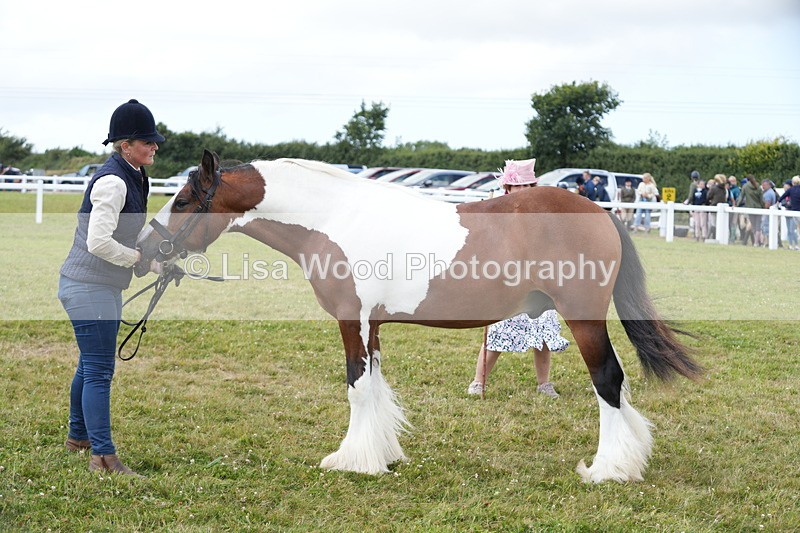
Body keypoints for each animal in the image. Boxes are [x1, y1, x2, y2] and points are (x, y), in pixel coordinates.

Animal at [135, 150, 701, 483]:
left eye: (182, 200)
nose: (143, 248)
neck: (335, 219)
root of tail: (598, 212)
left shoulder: (352, 320)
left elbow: (356, 387)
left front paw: (353, 462)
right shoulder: (373, 325)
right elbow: (375, 386)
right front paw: (381, 455)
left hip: (583, 319)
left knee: (607, 380)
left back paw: (609, 469)